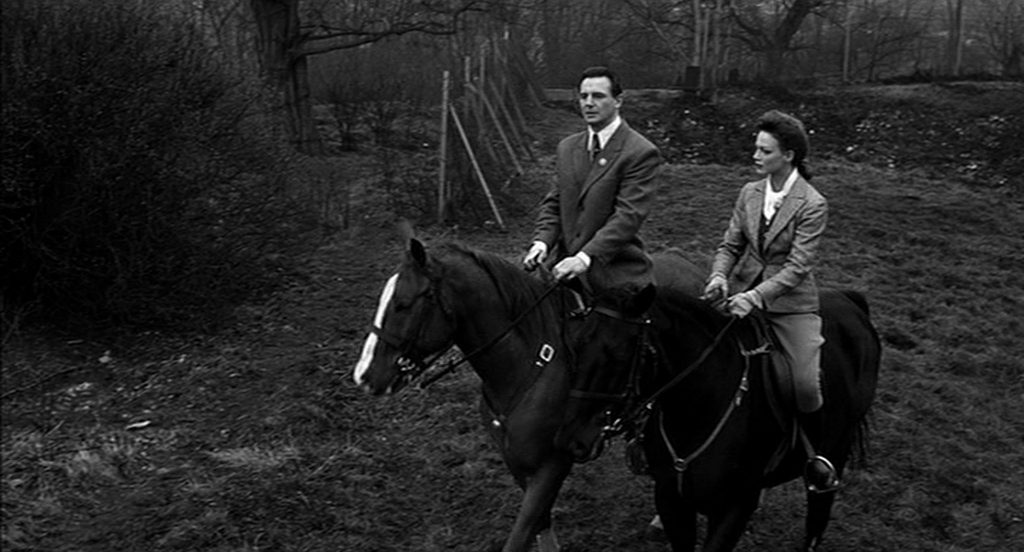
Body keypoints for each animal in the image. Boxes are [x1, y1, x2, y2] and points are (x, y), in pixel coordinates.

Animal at [352, 233, 704, 552]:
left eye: (403, 305)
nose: (365, 375)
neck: (529, 360)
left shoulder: (553, 462)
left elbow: (522, 532)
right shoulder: (516, 459)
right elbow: (540, 525)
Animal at [555, 284, 880, 552]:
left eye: (620, 355)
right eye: (578, 343)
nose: (571, 440)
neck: (698, 408)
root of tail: (848, 299)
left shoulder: (733, 510)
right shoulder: (671, 499)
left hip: (835, 450)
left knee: (817, 518)